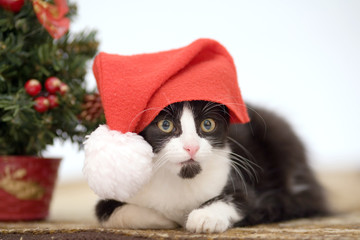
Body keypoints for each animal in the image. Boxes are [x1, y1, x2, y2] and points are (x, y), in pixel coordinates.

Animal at [94, 101, 328, 232]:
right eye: (165, 125)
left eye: (207, 124)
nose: (191, 147)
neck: (182, 178)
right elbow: (105, 212)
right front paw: (162, 219)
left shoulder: (238, 179)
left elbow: (240, 199)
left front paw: (205, 217)